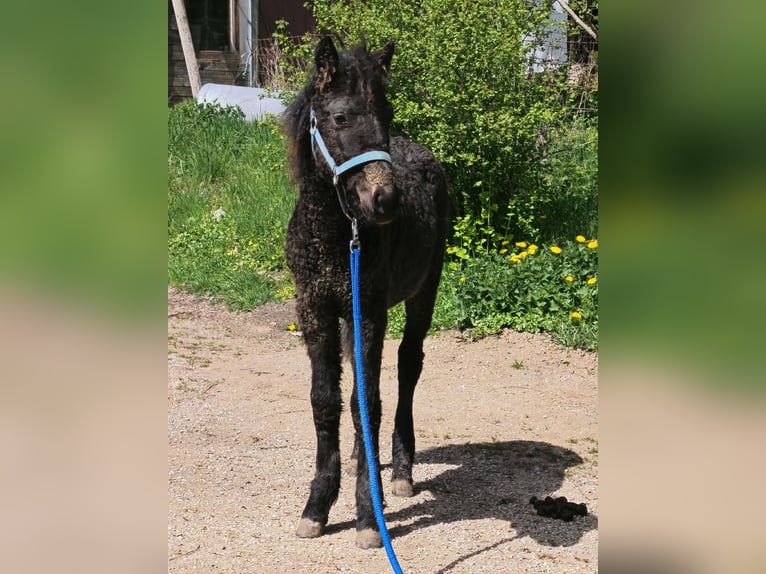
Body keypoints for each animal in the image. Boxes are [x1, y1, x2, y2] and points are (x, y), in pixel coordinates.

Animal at [283, 36, 448, 549]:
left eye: (388, 114)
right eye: (339, 118)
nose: (386, 201)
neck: (339, 235)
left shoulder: (369, 310)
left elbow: (366, 404)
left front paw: (365, 515)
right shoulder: (315, 308)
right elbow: (326, 400)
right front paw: (317, 505)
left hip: (424, 291)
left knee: (408, 365)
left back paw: (397, 471)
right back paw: (367, 460)